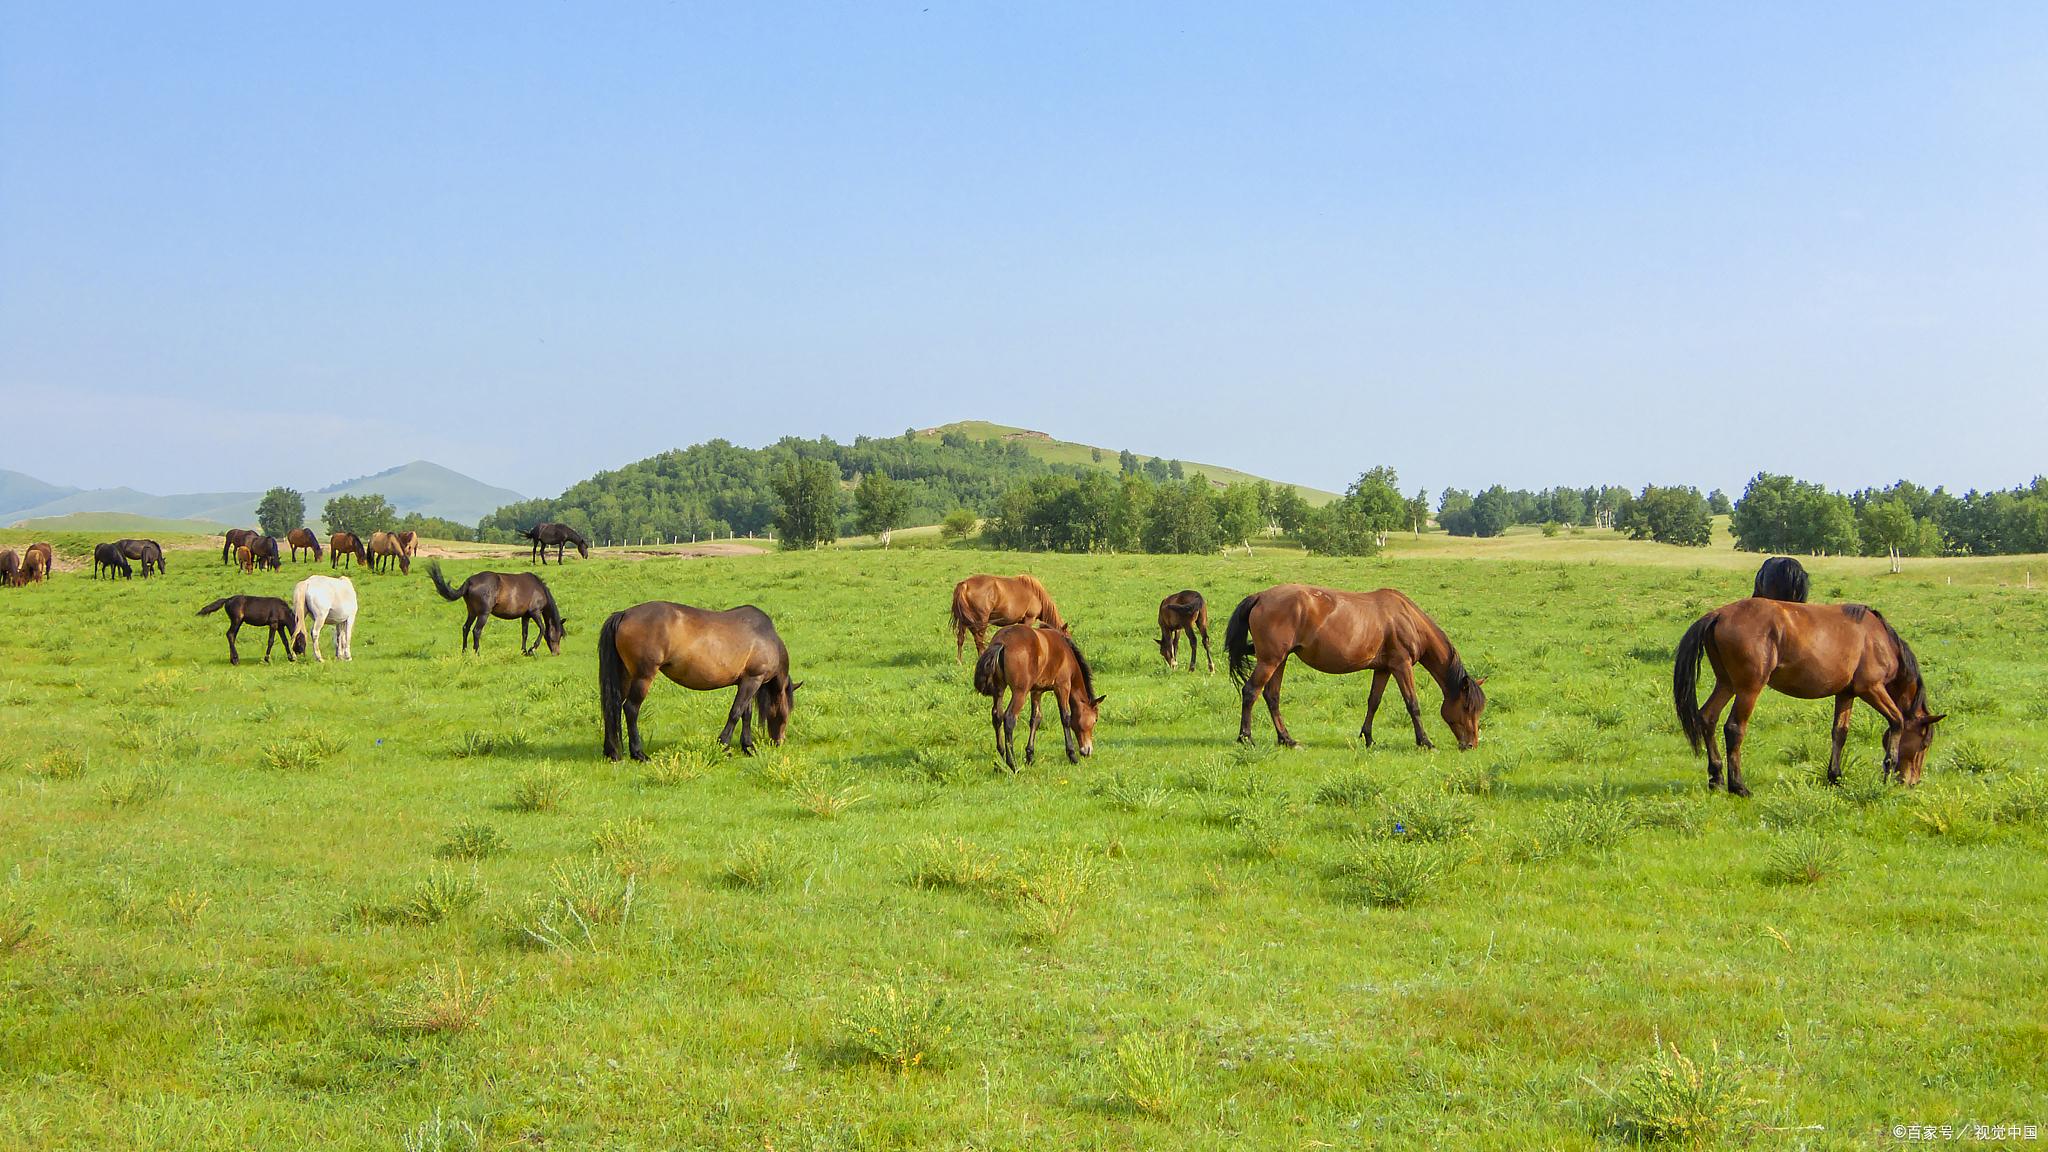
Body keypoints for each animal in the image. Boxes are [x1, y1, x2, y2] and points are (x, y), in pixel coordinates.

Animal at [428, 557, 565, 651]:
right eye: (558, 635)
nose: (556, 653)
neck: (539, 589)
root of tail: (470, 581)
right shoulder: (535, 612)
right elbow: (542, 628)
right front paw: (532, 649)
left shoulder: (525, 616)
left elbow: (524, 633)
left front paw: (524, 651)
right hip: (483, 614)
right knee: (476, 631)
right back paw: (477, 653)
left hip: (472, 612)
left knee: (466, 628)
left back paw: (464, 652)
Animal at [598, 594, 794, 758]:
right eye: (787, 711)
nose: (779, 741)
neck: (766, 637)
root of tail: (624, 614)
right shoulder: (753, 679)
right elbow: (735, 713)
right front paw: (723, 745)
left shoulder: (747, 681)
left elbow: (746, 714)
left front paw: (748, 747)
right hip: (642, 677)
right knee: (630, 709)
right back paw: (638, 753)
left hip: (625, 676)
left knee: (613, 707)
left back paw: (612, 752)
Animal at [974, 614, 1105, 766]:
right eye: (1095, 719)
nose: (1087, 750)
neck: (1066, 654)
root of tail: (1003, 641)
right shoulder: (1062, 687)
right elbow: (1066, 717)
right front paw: (1072, 755)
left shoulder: (1036, 691)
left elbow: (1035, 719)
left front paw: (1030, 756)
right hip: (1020, 692)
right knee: (1009, 718)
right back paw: (1012, 762)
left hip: (999, 689)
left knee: (997, 716)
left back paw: (1001, 753)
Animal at [1212, 582, 1490, 754]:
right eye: (1467, 707)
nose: (1471, 745)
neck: (1408, 618)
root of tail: (1260, 597)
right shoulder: (1402, 666)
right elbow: (1413, 704)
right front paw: (1426, 742)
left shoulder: (1384, 669)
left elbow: (1373, 702)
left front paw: (1368, 738)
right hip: (1270, 660)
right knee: (1251, 692)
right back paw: (1246, 738)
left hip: (1279, 661)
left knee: (1272, 697)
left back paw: (1287, 740)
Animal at [1671, 594, 1941, 795]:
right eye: (1924, 743)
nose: (1912, 782)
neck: (1878, 639)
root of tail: (1718, 614)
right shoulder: (1871, 689)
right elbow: (1897, 721)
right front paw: (1887, 769)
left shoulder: (1846, 694)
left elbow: (1839, 733)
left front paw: (1835, 777)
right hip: (1748, 689)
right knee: (1734, 728)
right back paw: (1738, 786)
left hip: (1726, 684)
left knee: (1707, 718)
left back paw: (1716, 778)